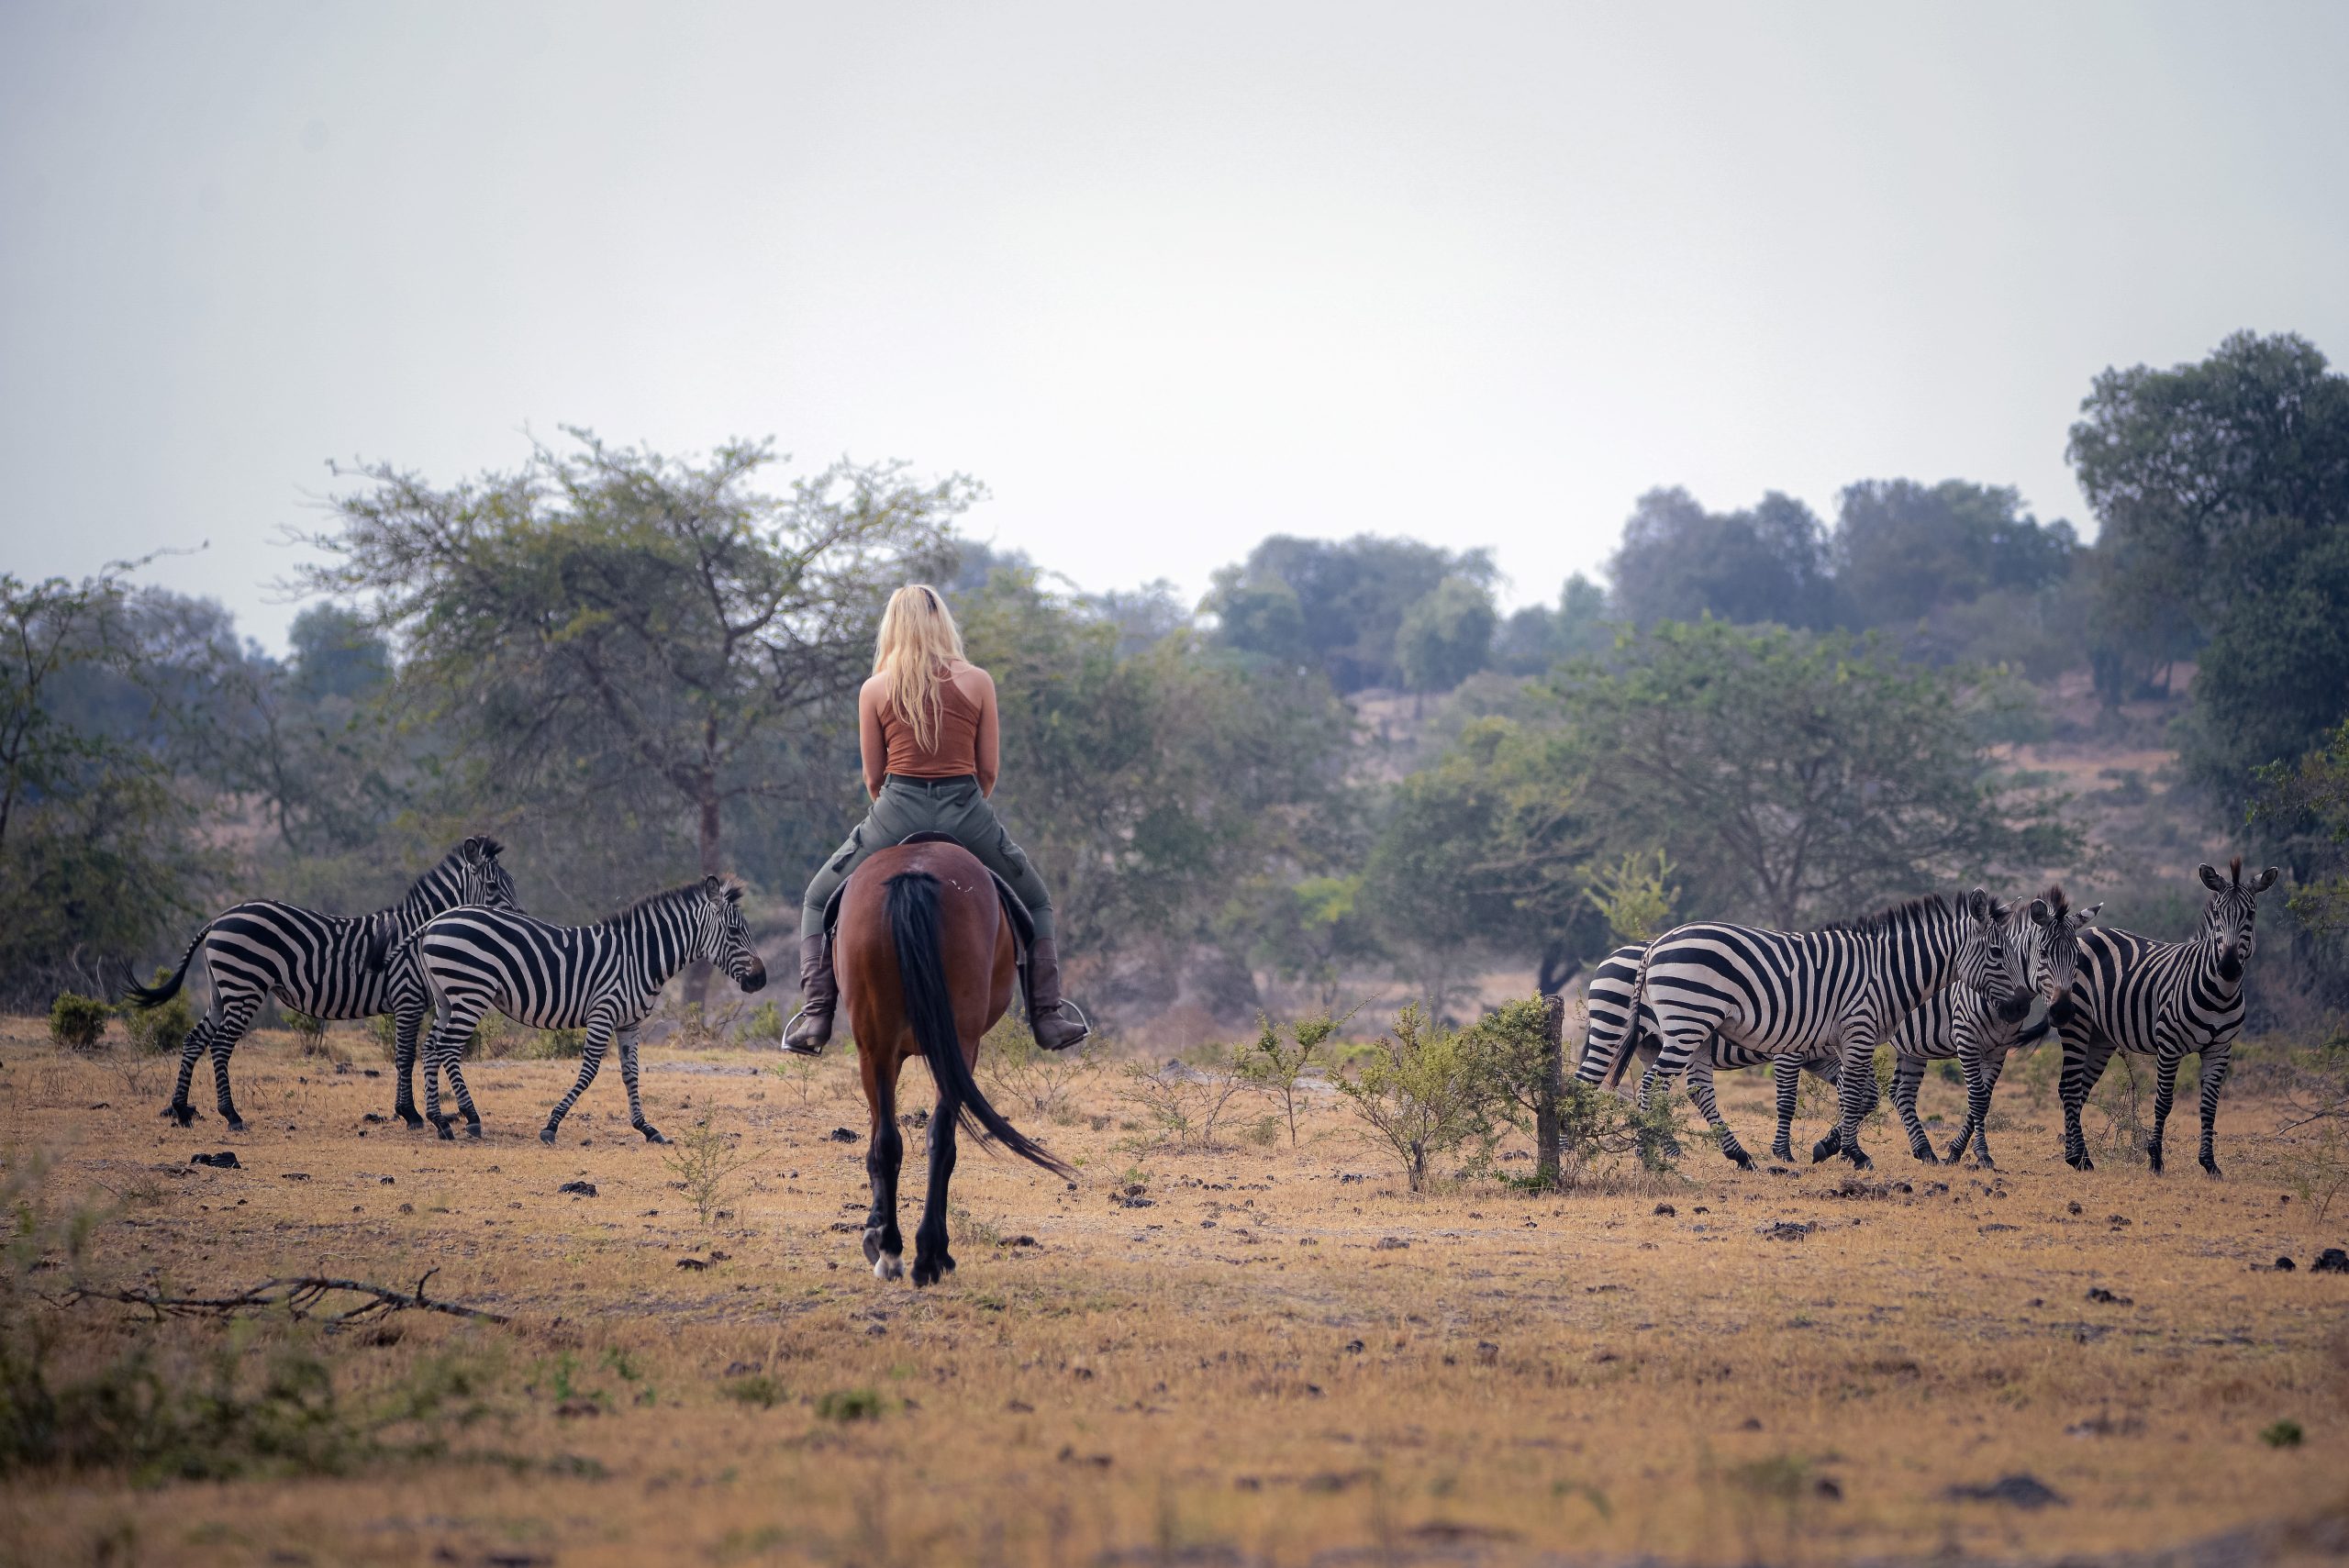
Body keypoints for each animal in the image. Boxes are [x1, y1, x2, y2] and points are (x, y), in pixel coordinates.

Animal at [129, 837, 517, 1133]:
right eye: (493, 887)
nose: (517, 923)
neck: (419, 930)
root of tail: (219, 918)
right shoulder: (407, 997)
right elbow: (405, 1056)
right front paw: (410, 1114)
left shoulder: (415, 1002)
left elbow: (406, 1055)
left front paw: (408, 1112)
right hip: (244, 987)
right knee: (221, 1045)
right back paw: (231, 1115)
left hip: (220, 992)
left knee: (194, 1039)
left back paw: (181, 1110)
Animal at [386, 876, 767, 1143]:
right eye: (734, 931)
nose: (761, 980)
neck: (638, 958)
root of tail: (435, 921)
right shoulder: (604, 1012)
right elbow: (589, 1072)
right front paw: (551, 1126)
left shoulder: (629, 1023)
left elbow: (631, 1074)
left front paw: (647, 1128)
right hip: (471, 992)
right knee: (449, 1049)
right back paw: (471, 1119)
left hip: (446, 998)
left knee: (431, 1048)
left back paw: (440, 1122)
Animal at [1576, 942, 1843, 1167]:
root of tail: (1609, 957)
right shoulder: (1788, 1051)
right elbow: (1788, 1101)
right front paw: (1785, 1154)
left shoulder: (1819, 1059)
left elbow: (1850, 1092)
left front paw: (1836, 1145)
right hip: (1614, 1030)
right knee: (1590, 1080)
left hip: (1650, 1044)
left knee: (1649, 1090)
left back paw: (1671, 1151)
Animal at [1884, 887, 2100, 1169]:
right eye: (2043, 953)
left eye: (2077, 957)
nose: (2062, 1011)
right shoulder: (1967, 1041)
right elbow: (1976, 1098)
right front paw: (1977, 1154)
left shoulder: (1999, 1050)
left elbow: (1984, 1100)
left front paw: (1961, 1152)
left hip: (1912, 1047)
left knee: (1902, 1093)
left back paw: (1924, 1151)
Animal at [2055, 858, 2278, 1177]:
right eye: (2219, 914)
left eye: (2251, 913)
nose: (2228, 967)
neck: (2221, 994)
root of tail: (2087, 932)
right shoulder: (2169, 1045)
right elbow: (2164, 1102)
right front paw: (2156, 1160)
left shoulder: (2220, 1049)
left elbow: (2209, 1106)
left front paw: (2210, 1163)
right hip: (2076, 1024)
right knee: (2070, 1088)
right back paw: (2080, 1159)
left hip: (2100, 1038)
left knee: (2077, 1090)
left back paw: (2075, 1156)